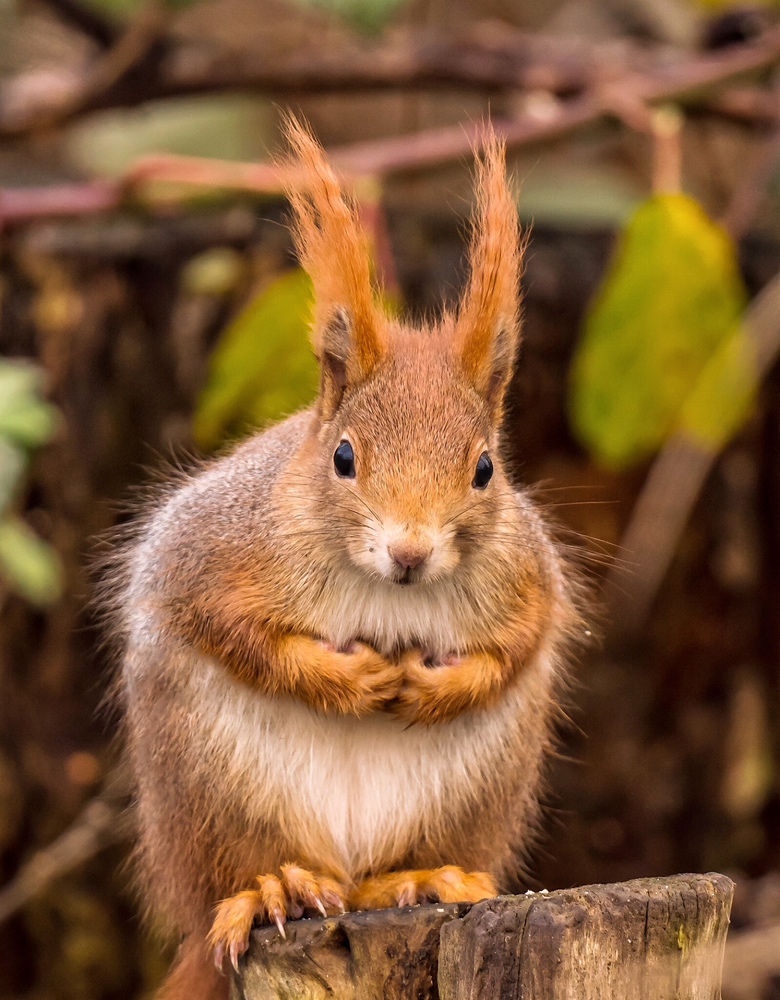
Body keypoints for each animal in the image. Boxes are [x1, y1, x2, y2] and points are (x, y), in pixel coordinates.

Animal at [112, 119, 580, 1000]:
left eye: (485, 469)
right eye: (342, 458)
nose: (410, 552)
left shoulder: (527, 578)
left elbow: (517, 646)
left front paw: (436, 685)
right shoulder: (213, 550)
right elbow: (224, 624)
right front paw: (348, 679)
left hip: (469, 792)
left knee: (381, 874)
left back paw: (418, 879)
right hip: (213, 784)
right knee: (242, 876)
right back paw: (276, 889)